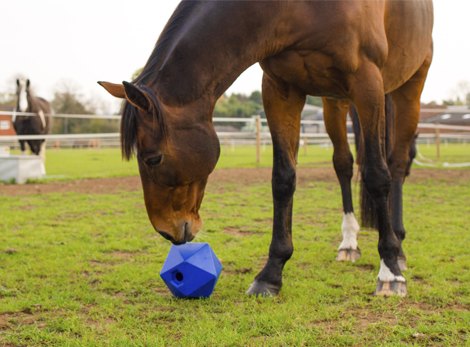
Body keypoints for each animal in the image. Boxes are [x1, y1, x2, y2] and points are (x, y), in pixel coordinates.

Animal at [100, 1, 434, 298]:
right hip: (335, 100)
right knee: (343, 163)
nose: (166, 231)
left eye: (153, 158)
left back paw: (398, 246)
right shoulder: (280, 89)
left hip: (408, 87)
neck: (297, 9)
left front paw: (390, 272)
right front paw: (271, 274)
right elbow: (283, 179)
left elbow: (378, 175)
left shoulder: (367, 82)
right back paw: (349, 243)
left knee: (396, 164)